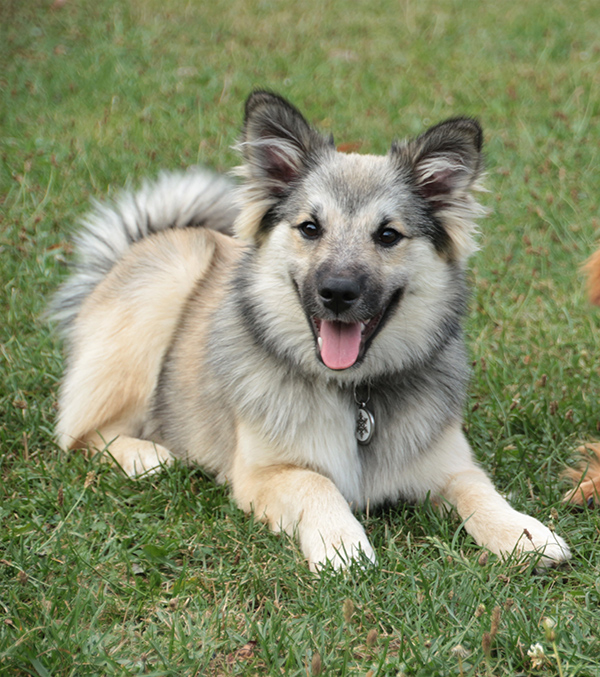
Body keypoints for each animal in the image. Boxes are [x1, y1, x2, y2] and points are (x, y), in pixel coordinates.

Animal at [49, 91, 568, 572]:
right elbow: (314, 481)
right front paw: (342, 544)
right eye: (310, 227)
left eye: (388, 235)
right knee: (79, 435)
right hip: (169, 281)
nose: (337, 292)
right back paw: (148, 457)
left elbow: (480, 490)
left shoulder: (449, 462)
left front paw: (521, 532)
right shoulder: (260, 474)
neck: (353, 394)